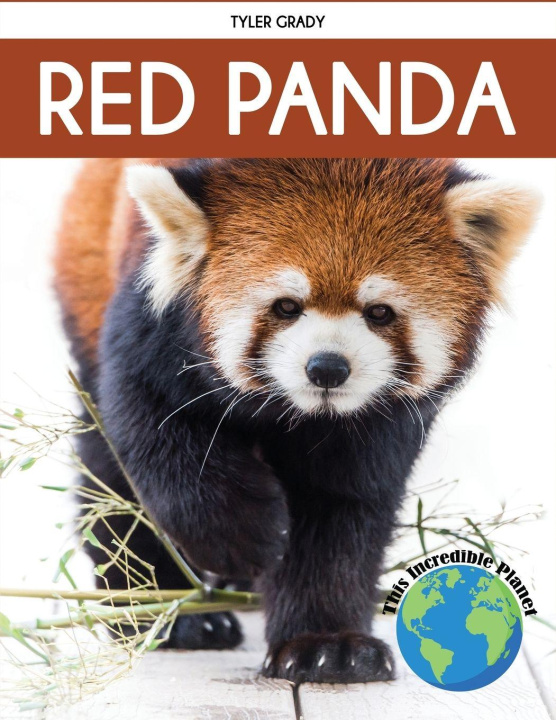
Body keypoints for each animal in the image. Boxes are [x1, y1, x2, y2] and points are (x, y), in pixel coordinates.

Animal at [54, 157, 538, 683]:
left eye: (380, 312)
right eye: (286, 306)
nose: (327, 367)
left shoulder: (374, 425)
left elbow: (339, 506)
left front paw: (327, 644)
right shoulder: (151, 326)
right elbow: (156, 435)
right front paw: (241, 537)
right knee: (109, 477)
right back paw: (164, 613)